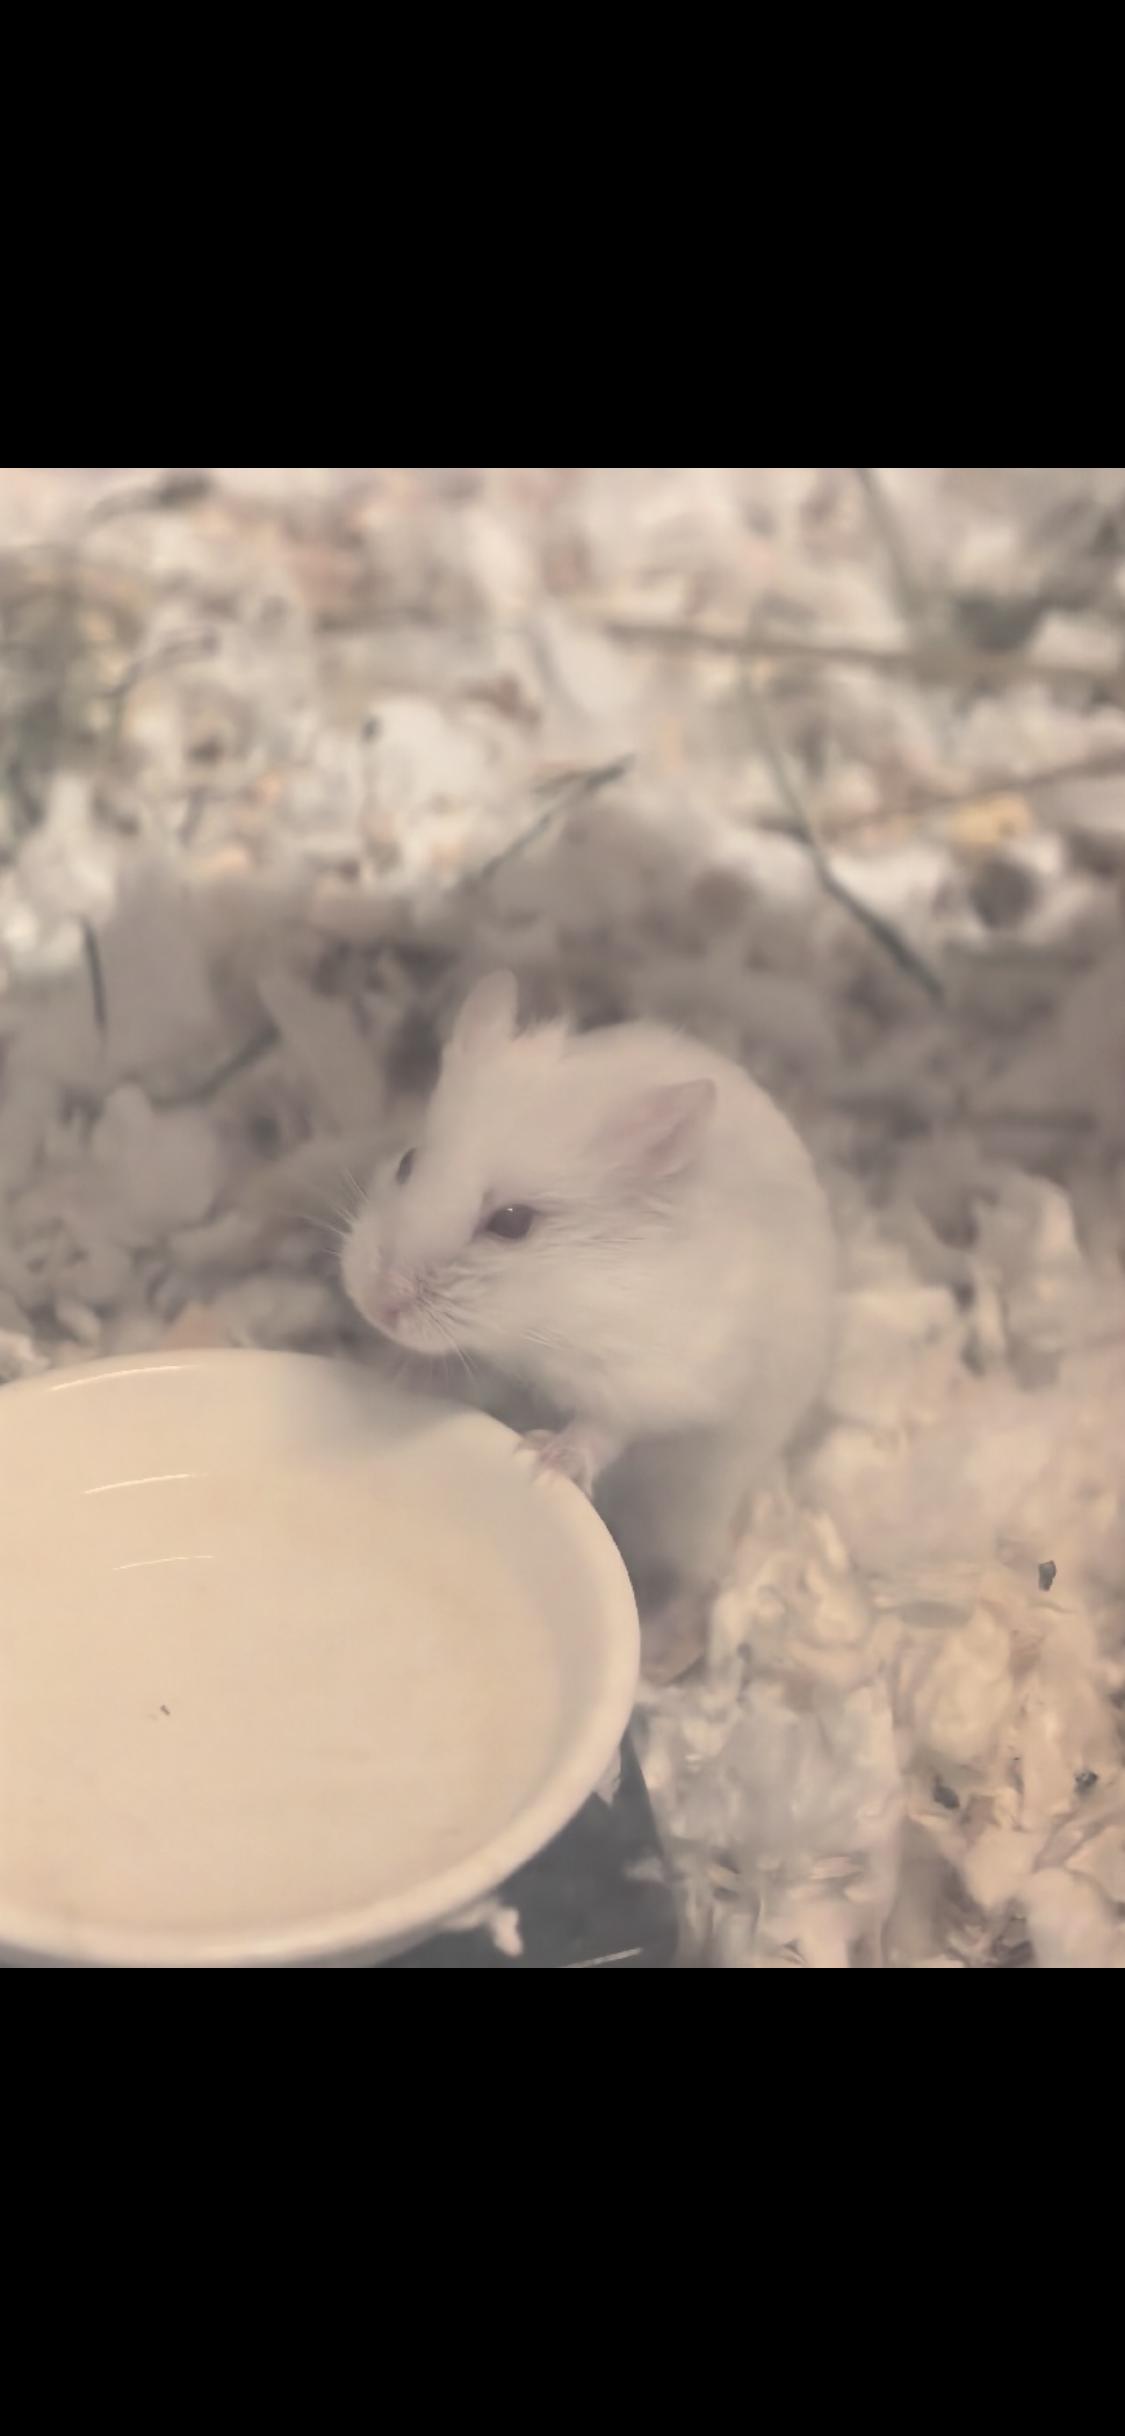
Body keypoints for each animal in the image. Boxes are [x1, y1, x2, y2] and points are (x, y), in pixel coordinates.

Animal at [343, 971, 836, 1677]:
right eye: (408, 1162)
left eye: (513, 1222)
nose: (375, 1302)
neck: (547, 1318)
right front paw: (390, 1372)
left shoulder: (653, 1376)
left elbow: (604, 1426)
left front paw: (543, 1458)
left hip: (697, 1497)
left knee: (695, 1574)